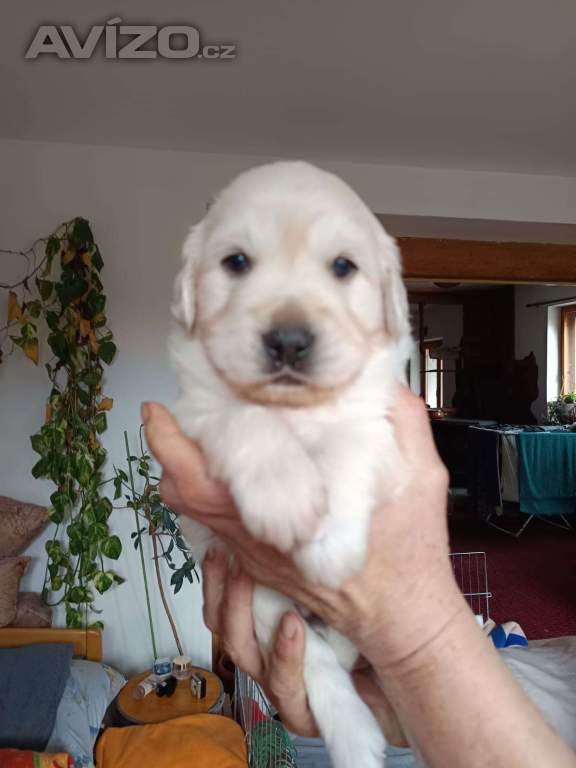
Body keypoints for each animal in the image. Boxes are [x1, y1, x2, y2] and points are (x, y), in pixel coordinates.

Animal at [170, 161, 412, 768]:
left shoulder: (379, 421)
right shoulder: (193, 412)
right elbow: (244, 415)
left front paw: (329, 543)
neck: (295, 408)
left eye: (343, 267)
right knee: (321, 668)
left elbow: (347, 445)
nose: (288, 341)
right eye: (236, 262)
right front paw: (286, 501)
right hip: (267, 606)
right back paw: (357, 739)